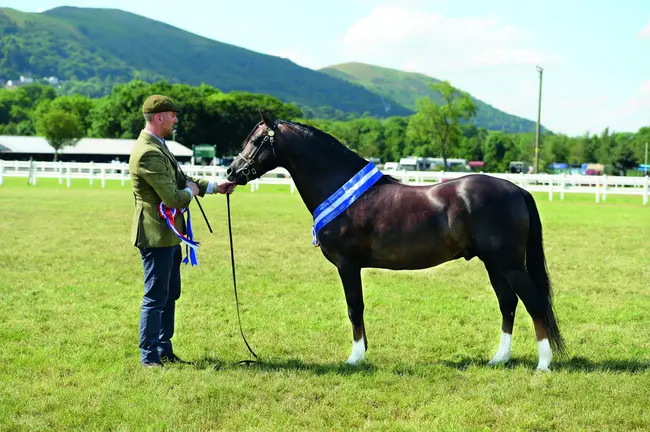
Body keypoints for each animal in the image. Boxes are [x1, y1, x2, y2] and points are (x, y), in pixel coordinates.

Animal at [227, 111, 560, 372]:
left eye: (257, 141)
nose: (232, 171)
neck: (342, 190)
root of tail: (518, 190)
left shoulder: (348, 265)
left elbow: (354, 307)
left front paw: (355, 358)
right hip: (493, 263)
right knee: (508, 303)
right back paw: (499, 359)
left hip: (510, 263)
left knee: (533, 302)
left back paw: (543, 363)